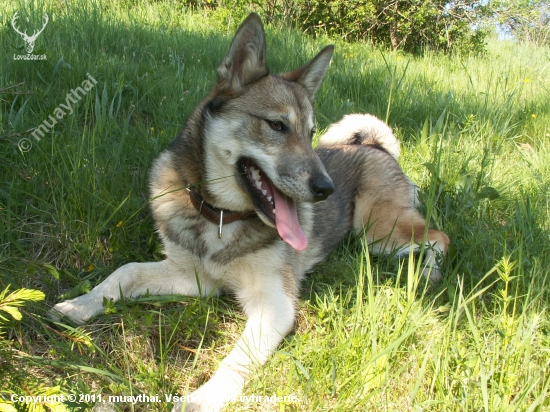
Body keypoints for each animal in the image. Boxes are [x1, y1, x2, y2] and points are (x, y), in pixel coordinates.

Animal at [50, 12, 448, 412]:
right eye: (277, 125)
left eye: (310, 132)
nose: (326, 189)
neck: (222, 218)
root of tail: (376, 146)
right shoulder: (192, 277)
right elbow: (125, 272)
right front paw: (79, 305)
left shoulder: (274, 305)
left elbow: (235, 358)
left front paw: (200, 400)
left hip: (378, 232)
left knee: (437, 237)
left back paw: (426, 272)